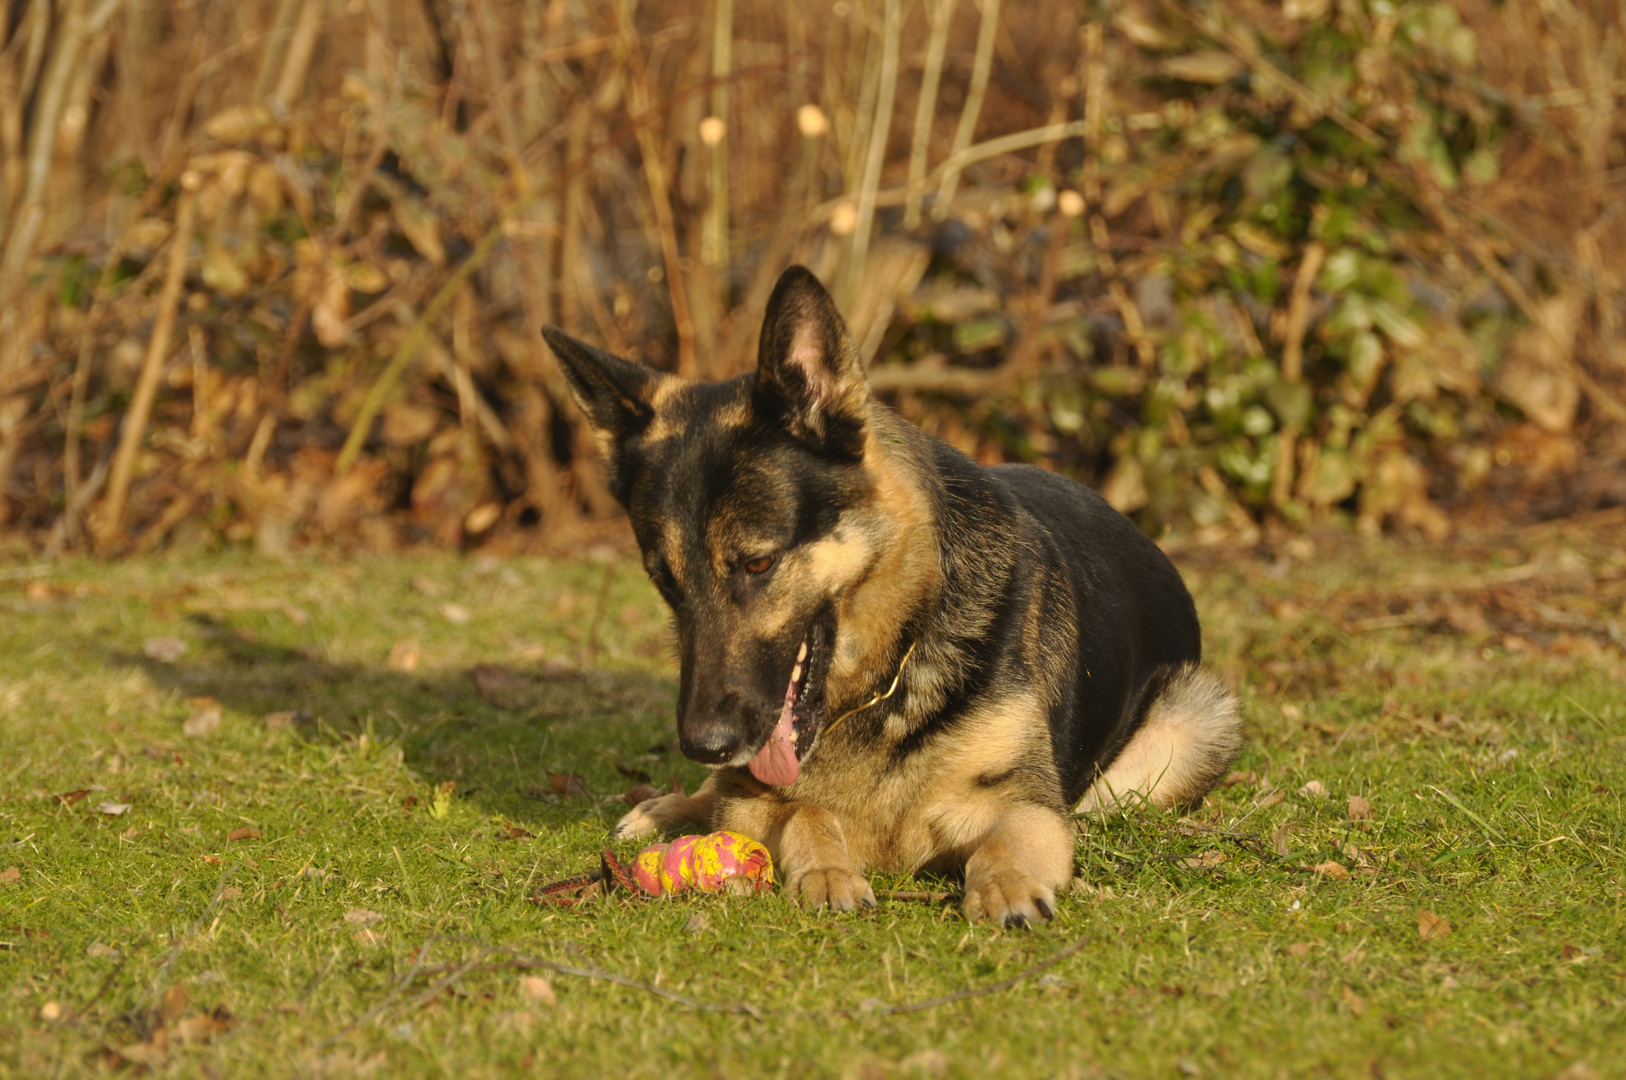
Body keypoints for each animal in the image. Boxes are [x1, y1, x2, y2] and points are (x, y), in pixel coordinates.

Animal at [539, 265, 1235, 923]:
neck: (884, 679)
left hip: (1194, 723)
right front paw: (828, 871)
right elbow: (802, 812)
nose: (704, 744)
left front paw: (1007, 886)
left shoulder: (1025, 803)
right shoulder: (751, 798)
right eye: (665, 579)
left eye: (758, 563)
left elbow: (1006, 840)